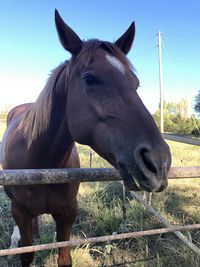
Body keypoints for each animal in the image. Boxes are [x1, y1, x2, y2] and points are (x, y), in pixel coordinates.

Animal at [0, 9, 171, 267]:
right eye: (90, 79)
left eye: (136, 83)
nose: (158, 163)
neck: (41, 164)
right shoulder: (20, 212)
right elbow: (27, 254)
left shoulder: (68, 213)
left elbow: (64, 258)